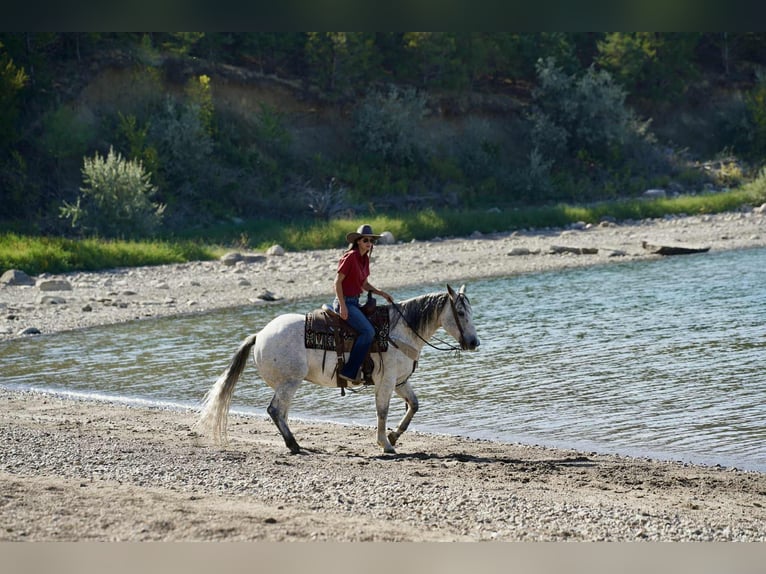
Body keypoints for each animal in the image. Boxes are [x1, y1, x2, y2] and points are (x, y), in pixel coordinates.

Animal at [195, 284, 479, 454]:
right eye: (460, 313)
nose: (474, 343)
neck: (400, 330)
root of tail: (260, 334)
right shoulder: (386, 382)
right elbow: (382, 411)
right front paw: (385, 444)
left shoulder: (400, 381)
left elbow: (414, 406)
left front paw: (394, 436)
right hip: (290, 382)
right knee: (275, 411)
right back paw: (294, 445)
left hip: (288, 384)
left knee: (281, 413)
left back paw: (293, 444)